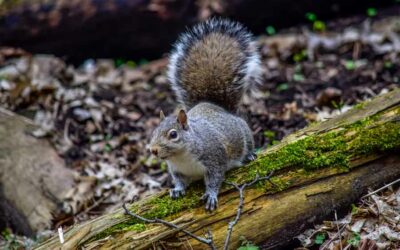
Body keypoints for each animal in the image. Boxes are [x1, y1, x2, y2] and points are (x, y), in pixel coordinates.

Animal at [148, 17, 260, 211]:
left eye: (173, 134)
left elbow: (215, 178)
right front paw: (177, 189)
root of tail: (212, 104)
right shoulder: (176, 170)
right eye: (154, 132)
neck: (181, 157)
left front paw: (211, 195)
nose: (153, 150)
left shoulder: (215, 158)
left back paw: (250, 154)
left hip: (244, 132)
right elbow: (179, 181)